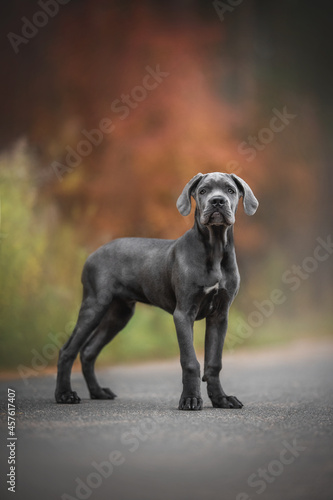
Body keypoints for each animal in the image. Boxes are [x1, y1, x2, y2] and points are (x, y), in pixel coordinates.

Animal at [55, 172, 256, 410]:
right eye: (203, 191)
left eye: (230, 190)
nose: (217, 201)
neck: (215, 248)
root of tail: (93, 254)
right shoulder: (183, 313)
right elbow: (190, 361)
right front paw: (190, 399)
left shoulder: (220, 315)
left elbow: (214, 362)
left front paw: (221, 399)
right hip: (94, 305)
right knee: (68, 350)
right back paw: (64, 394)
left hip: (119, 314)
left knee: (88, 351)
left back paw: (97, 392)